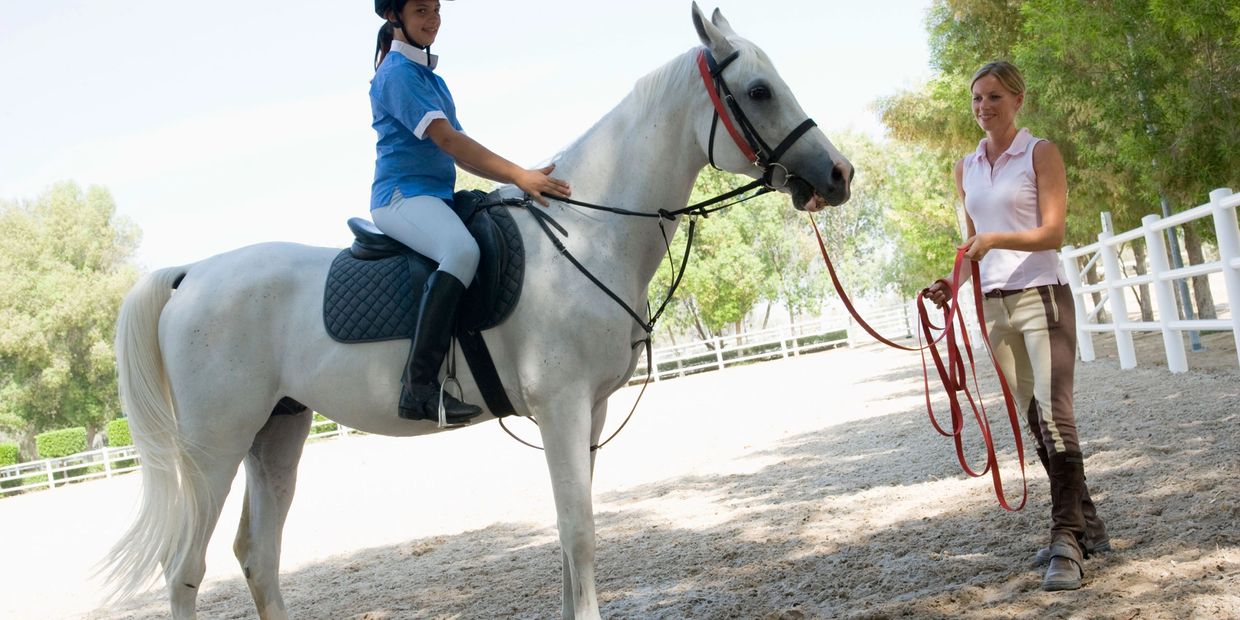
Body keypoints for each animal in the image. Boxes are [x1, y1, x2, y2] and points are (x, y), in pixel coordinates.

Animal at [106, 6, 853, 620]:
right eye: (758, 91)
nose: (839, 175)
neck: (590, 229)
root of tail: (191, 275)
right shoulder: (561, 406)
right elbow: (579, 531)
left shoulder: (590, 409)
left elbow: (570, 533)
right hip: (215, 450)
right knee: (184, 570)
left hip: (276, 435)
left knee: (258, 557)